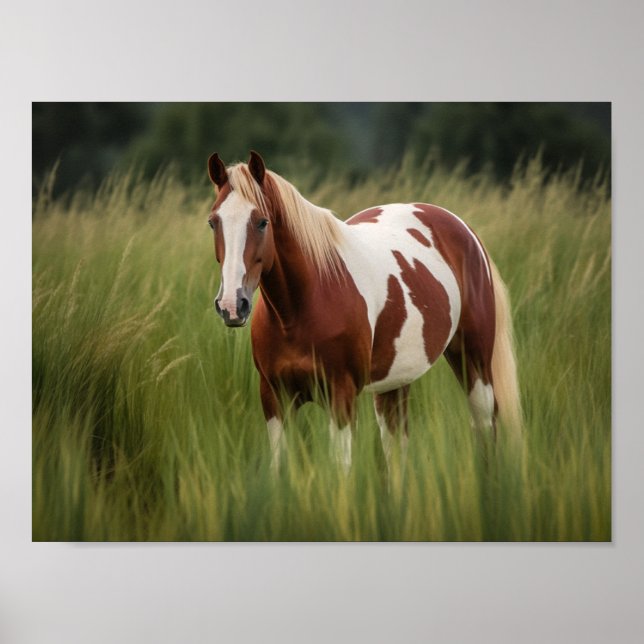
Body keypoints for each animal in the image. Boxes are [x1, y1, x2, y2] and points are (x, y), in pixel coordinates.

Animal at [206, 151, 521, 473]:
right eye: (213, 222)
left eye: (262, 222)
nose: (232, 305)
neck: (298, 311)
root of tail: (464, 231)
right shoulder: (275, 398)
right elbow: (279, 469)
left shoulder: (341, 397)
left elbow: (340, 471)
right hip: (395, 382)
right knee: (397, 449)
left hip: (474, 363)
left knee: (485, 427)